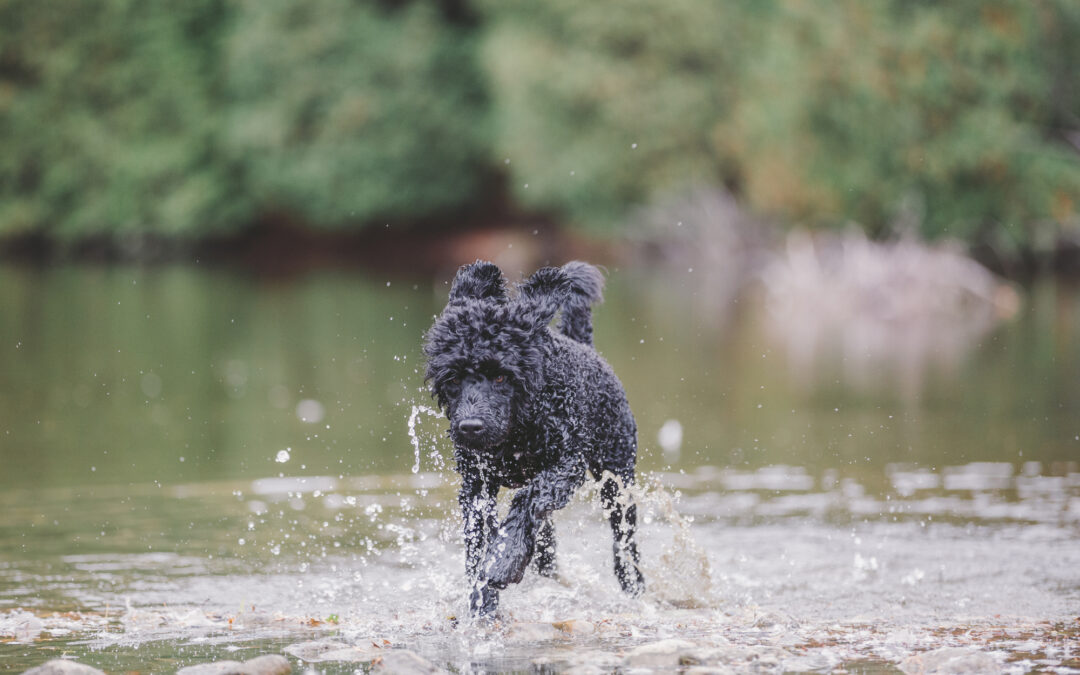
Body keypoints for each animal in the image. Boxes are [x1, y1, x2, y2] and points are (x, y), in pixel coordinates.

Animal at [421, 259, 639, 617]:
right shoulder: (477, 486)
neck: (517, 432)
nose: (470, 427)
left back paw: (634, 586)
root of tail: (585, 346)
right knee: (546, 540)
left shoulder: (565, 466)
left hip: (617, 479)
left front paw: (505, 561)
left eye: (501, 375)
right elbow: (479, 544)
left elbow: (528, 501)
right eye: (452, 378)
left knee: (625, 542)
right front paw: (482, 603)